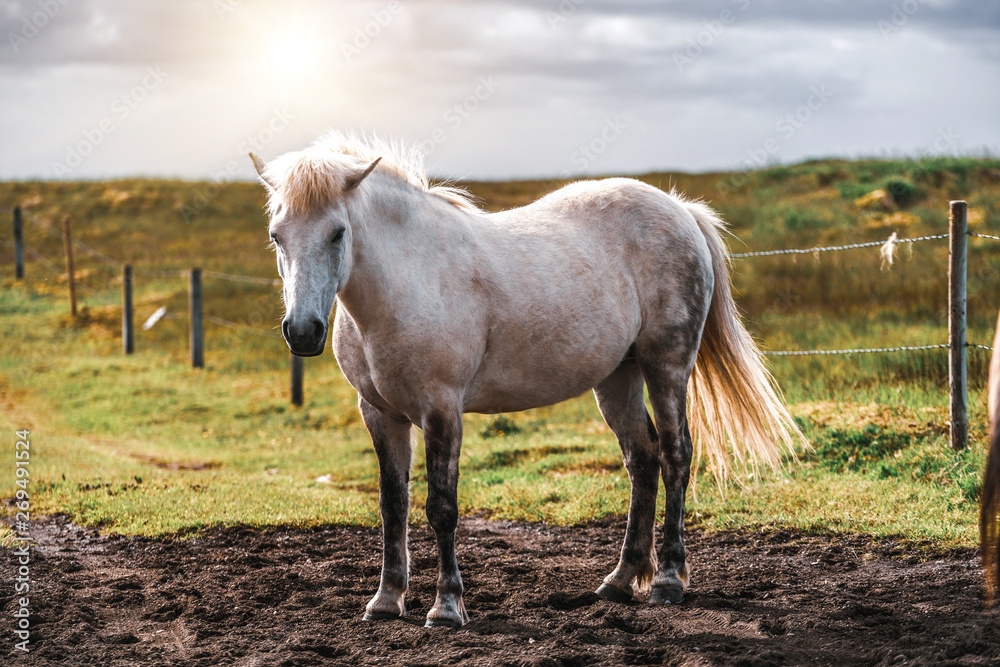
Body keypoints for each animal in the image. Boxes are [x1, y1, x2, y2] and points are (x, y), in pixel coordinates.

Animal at [252, 133, 804, 628]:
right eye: (277, 235)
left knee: (676, 456)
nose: (302, 331)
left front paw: (446, 608)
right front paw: (386, 601)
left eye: (337, 233)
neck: (407, 280)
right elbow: (393, 505)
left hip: (666, 367)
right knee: (642, 461)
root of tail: (680, 209)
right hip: (617, 378)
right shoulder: (380, 414)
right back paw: (620, 581)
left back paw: (667, 580)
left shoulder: (441, 410)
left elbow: (440, 508)